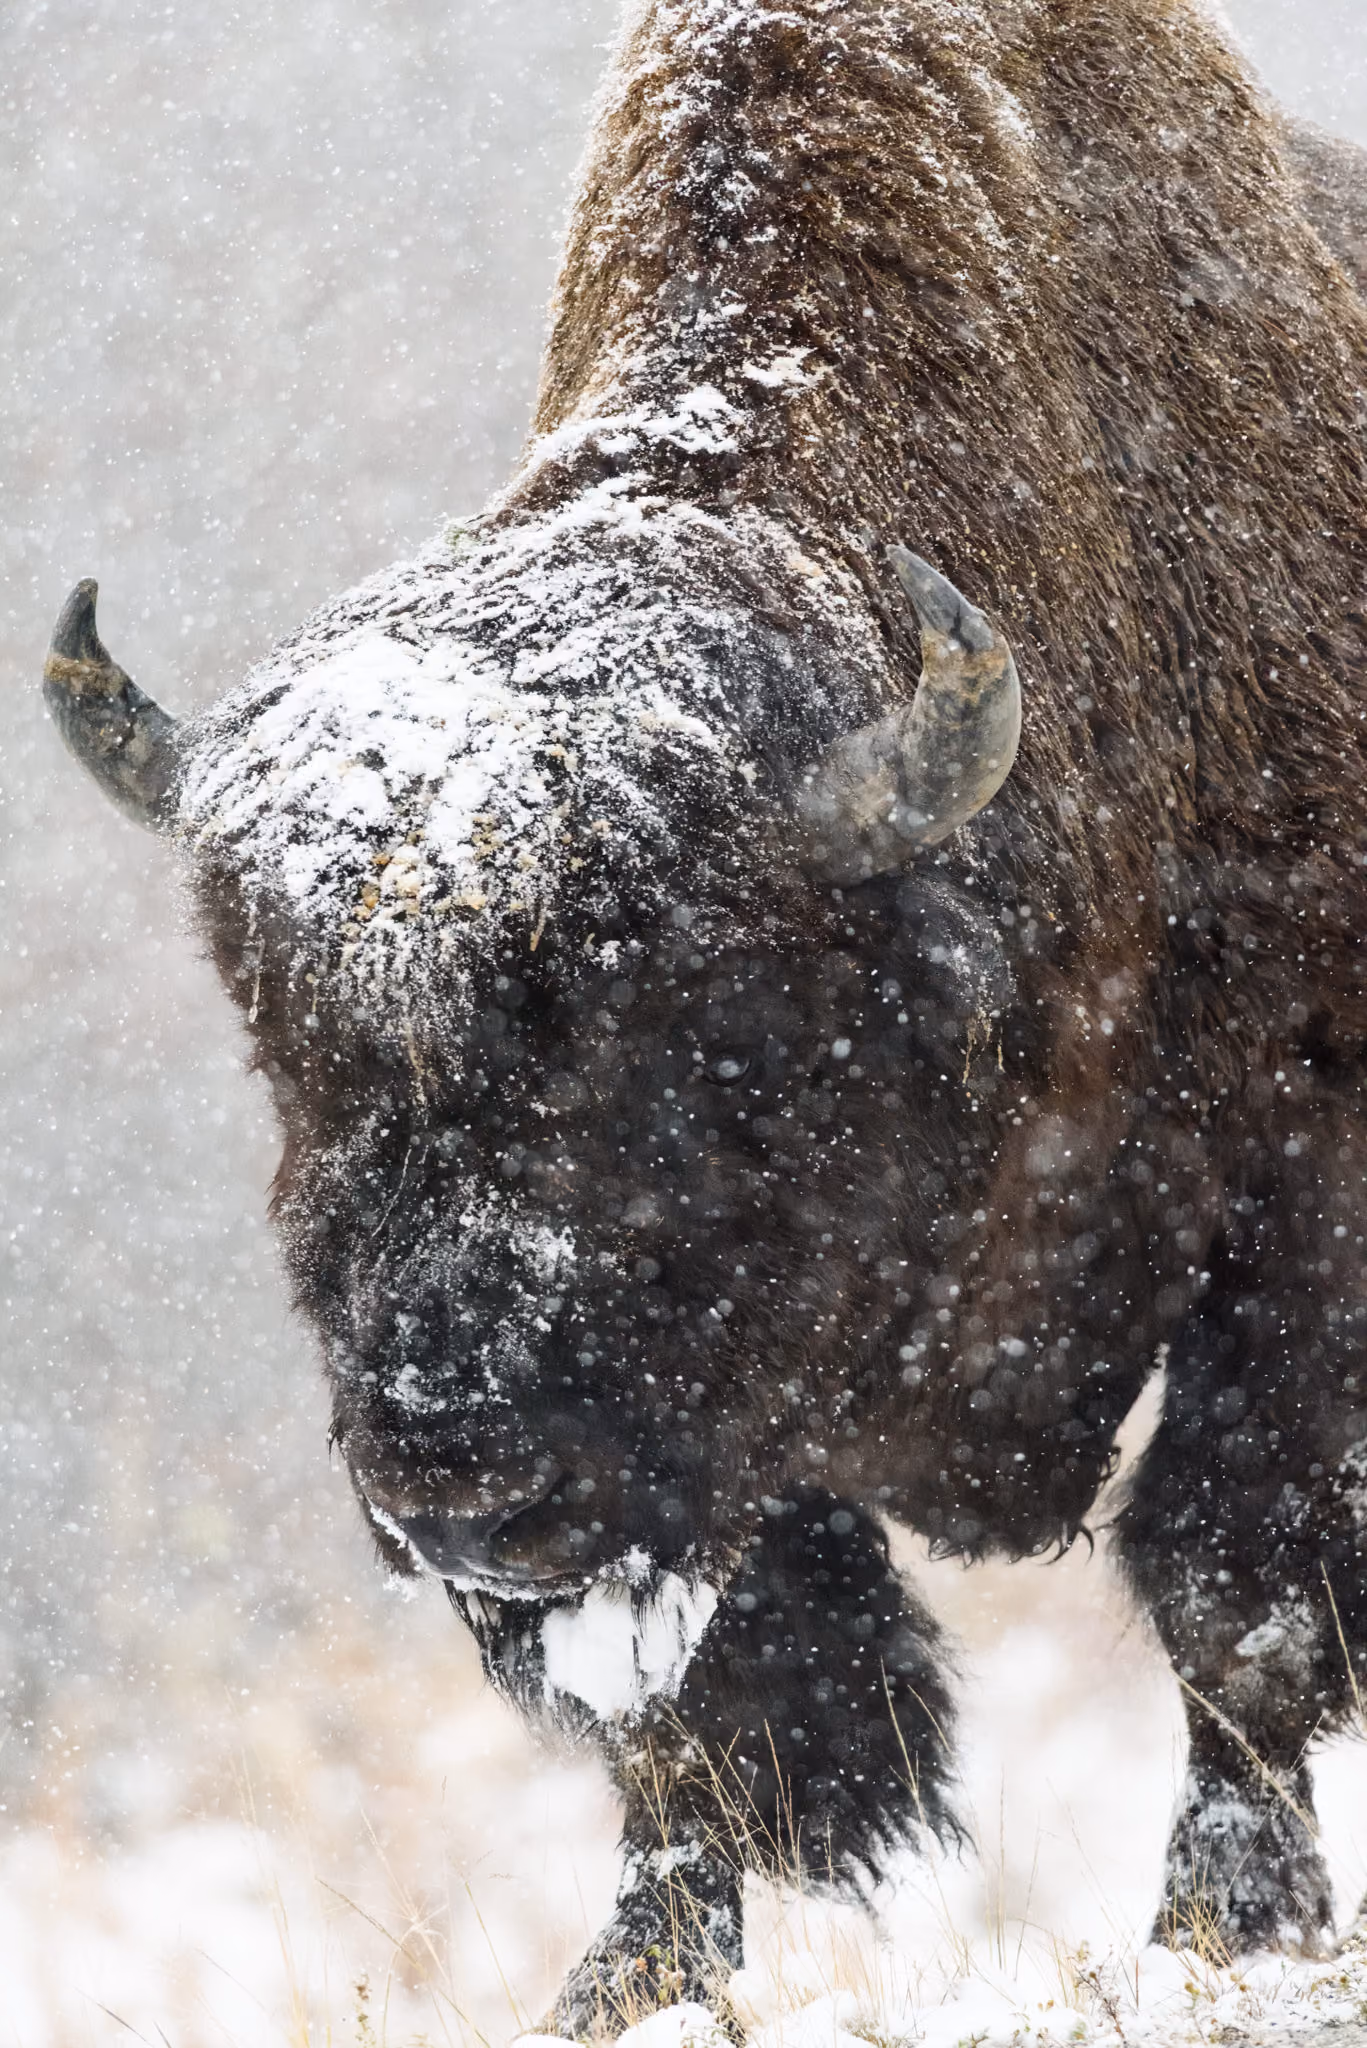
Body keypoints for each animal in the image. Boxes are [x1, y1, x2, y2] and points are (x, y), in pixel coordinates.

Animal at [41, 0, 1367, 2031]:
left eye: (674, 1024)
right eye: (284, 1044)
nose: (450, 1468)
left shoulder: (1303, 1191)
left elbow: (1240, 1582)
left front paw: (1230, 1916)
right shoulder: (699, 1457)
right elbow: (712, 1699)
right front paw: (631, 1974)